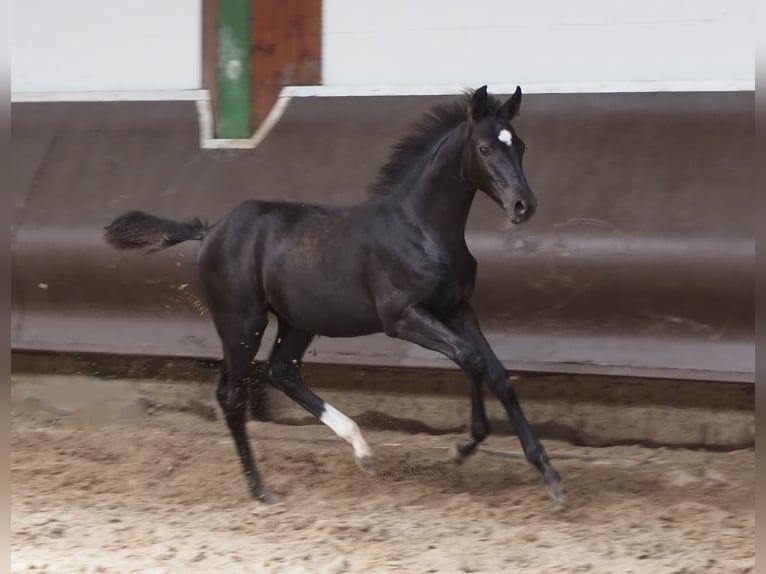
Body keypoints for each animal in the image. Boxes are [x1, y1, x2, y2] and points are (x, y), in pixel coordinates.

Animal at [105, 84, 568, 504]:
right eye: (486, 148)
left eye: (520, 145)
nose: (523, 206)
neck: (422, 229)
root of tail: (211, 230)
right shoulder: (403, 317)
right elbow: (471, 360)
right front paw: (465, 446)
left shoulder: (457, 309)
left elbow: (497, 372)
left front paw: (549, 473)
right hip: (242, 323)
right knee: (232, 396)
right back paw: (261, 489)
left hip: (296, 321)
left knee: (281, 371)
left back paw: (361, 450)